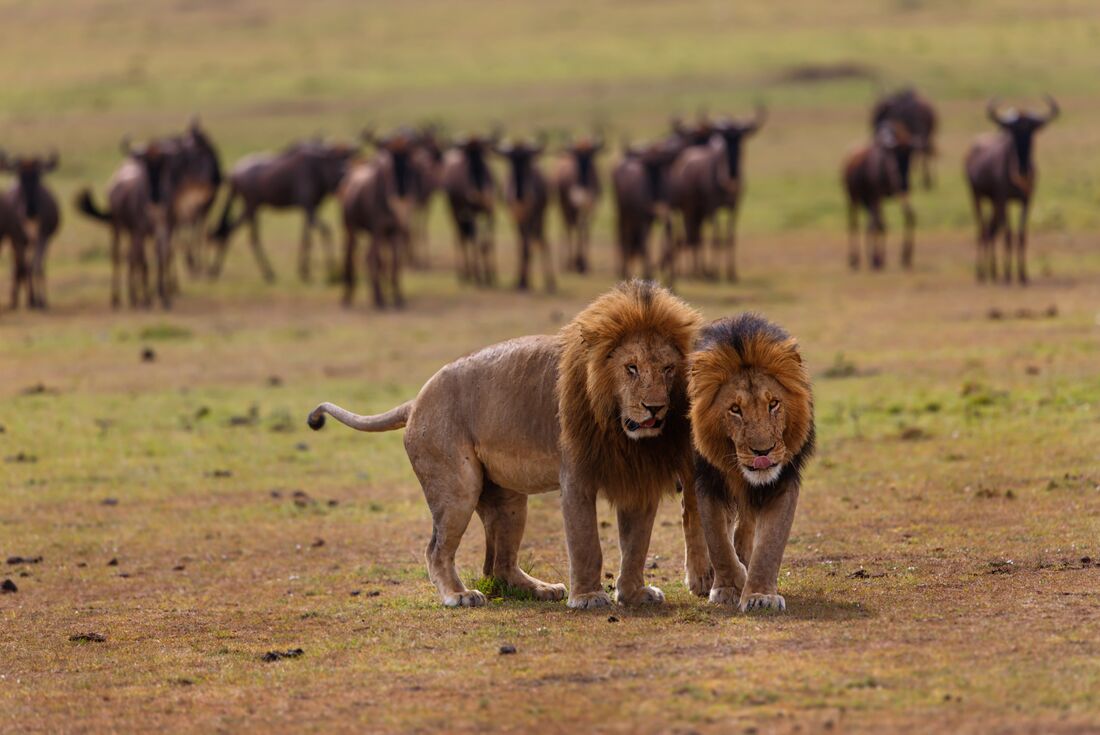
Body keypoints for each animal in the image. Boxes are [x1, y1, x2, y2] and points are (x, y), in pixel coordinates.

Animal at [307, 280, 710, 608]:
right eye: (631, 368)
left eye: (668, 369)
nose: (655, 408)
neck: (620, 430)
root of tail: (416, 400)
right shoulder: (576, 477)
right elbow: (586, 542)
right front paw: (589, 597)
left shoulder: (637, 477)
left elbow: (637, 543)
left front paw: (634, 594)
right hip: (458, 487)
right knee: (436, 549)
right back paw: (458, 595)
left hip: (509, 499)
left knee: (498, 564)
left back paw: (541, 589)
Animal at [688, 313, 815, 612]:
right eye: (735, 409)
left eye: (774, 404)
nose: (763, 451)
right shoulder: (707, 480)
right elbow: (717, 540)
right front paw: (728, 586)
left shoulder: (783, 483)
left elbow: (769, 544)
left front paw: (759, 595)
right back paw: (702, 576)